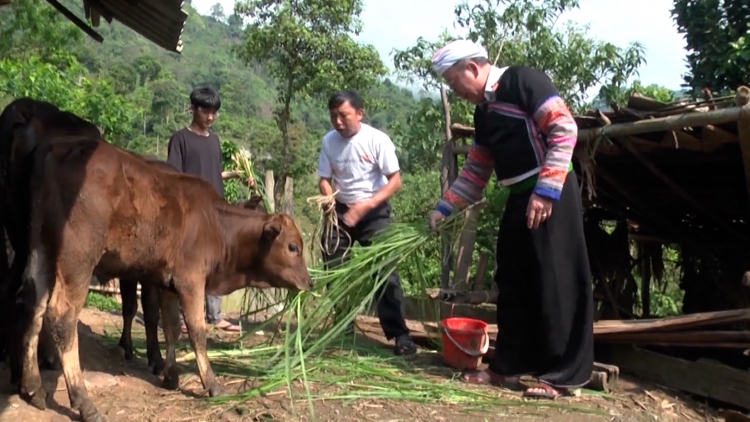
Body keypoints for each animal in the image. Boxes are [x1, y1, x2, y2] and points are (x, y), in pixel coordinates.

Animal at [16, 125, 312, 422]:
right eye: (293, 246)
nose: (309, 282)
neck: (216, 224)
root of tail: (55, 147)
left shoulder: (168, 284)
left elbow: (171, 328)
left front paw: (170, 376)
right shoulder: (191, 281)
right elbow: (196, 331)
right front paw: (211, 383)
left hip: (40, 248)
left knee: (33, 306)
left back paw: (32, 388)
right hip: (78, 258)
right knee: (62, 317)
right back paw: (83, 402)